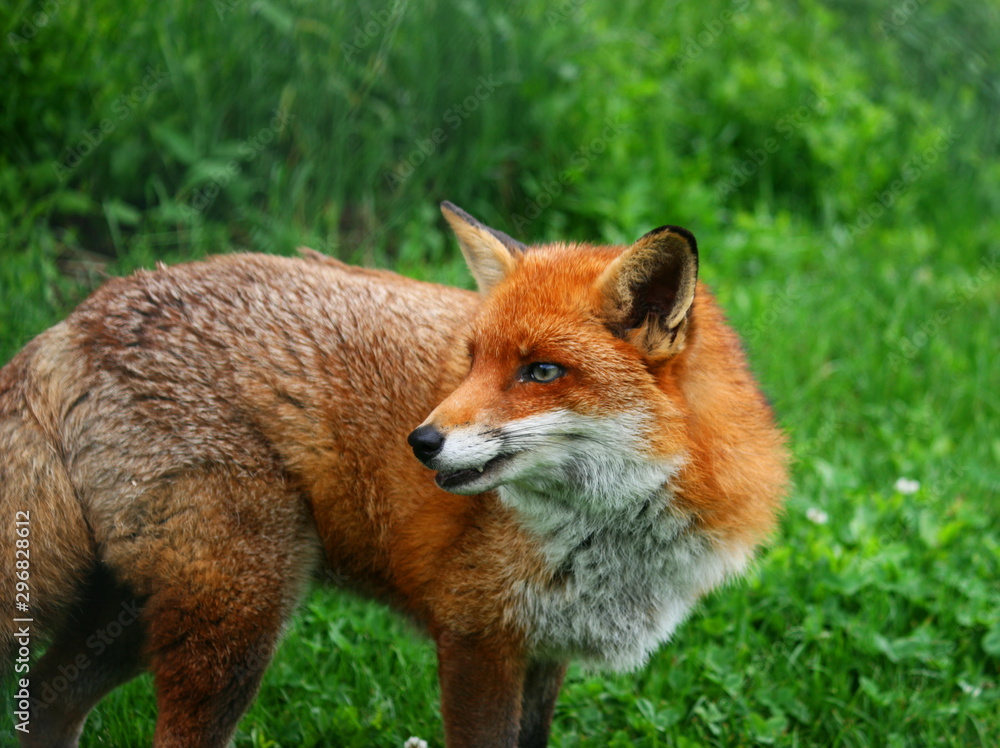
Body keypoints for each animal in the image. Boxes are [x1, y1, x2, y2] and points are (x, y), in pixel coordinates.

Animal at [1, 202, 787, 747]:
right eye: (470, 359)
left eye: (540, 372)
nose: (422, 441)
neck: (612, 537)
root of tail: (72, 323)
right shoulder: (475, 638)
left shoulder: (541, 649)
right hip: (236, 620)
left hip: (137, 610)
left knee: (45, 703)